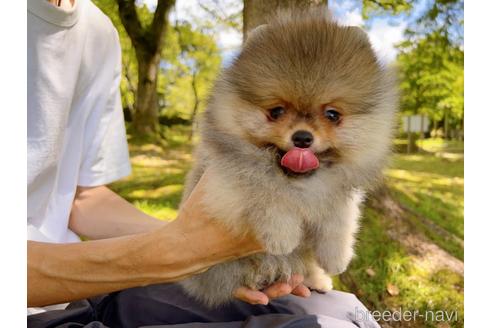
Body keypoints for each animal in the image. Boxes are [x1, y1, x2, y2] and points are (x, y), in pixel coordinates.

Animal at [179, 8, 398, 308]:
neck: (301, 183)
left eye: (332, 114)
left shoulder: (340, 194)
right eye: (276, 111)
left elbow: (339, 221)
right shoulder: (223, 179)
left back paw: (317, 279)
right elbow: (265, 193)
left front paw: (337, 258)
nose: (302, 138)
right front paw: (281, 236)